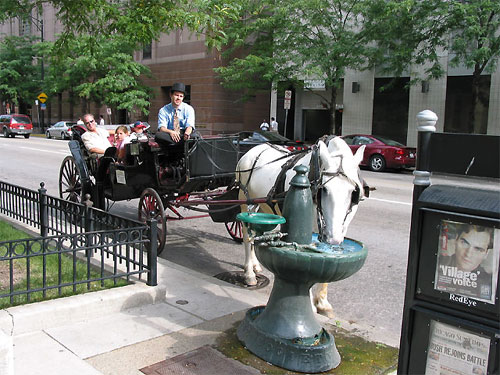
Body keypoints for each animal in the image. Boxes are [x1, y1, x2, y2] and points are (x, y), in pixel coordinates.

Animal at [234, 137, 368, 318]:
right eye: (324, 190)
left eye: (353, 192)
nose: (332, 238)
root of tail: (252, 150)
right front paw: (311, 305)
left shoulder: (340, 229)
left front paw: (323, 303)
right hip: (245, 201)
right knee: (247, 236)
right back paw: (249, 274)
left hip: (263, 208)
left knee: (256, 232)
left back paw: (255, 265)